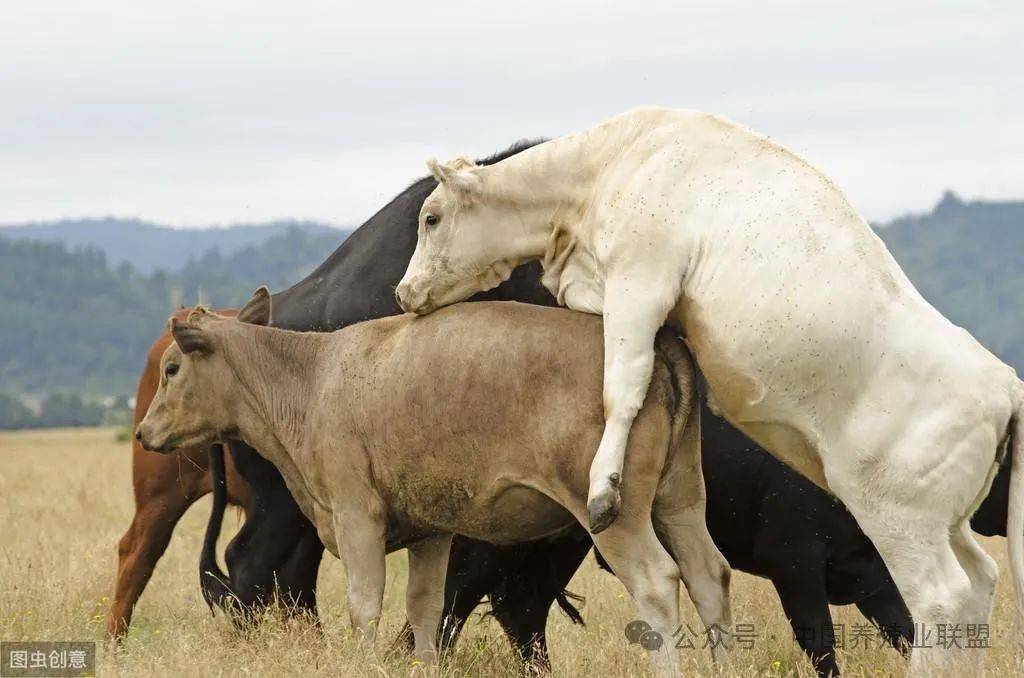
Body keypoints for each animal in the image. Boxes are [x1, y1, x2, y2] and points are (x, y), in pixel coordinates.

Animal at [136, 288, 733, 675]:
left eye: (171, 368)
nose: (143, 432)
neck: (312, 379)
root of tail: (661, 344)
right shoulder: (431, 532)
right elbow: (424, 608)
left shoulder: (356, 516)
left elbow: (365, 605)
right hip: (680, 500)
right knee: (709, 575)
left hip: (617, 514)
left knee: (658, 582)